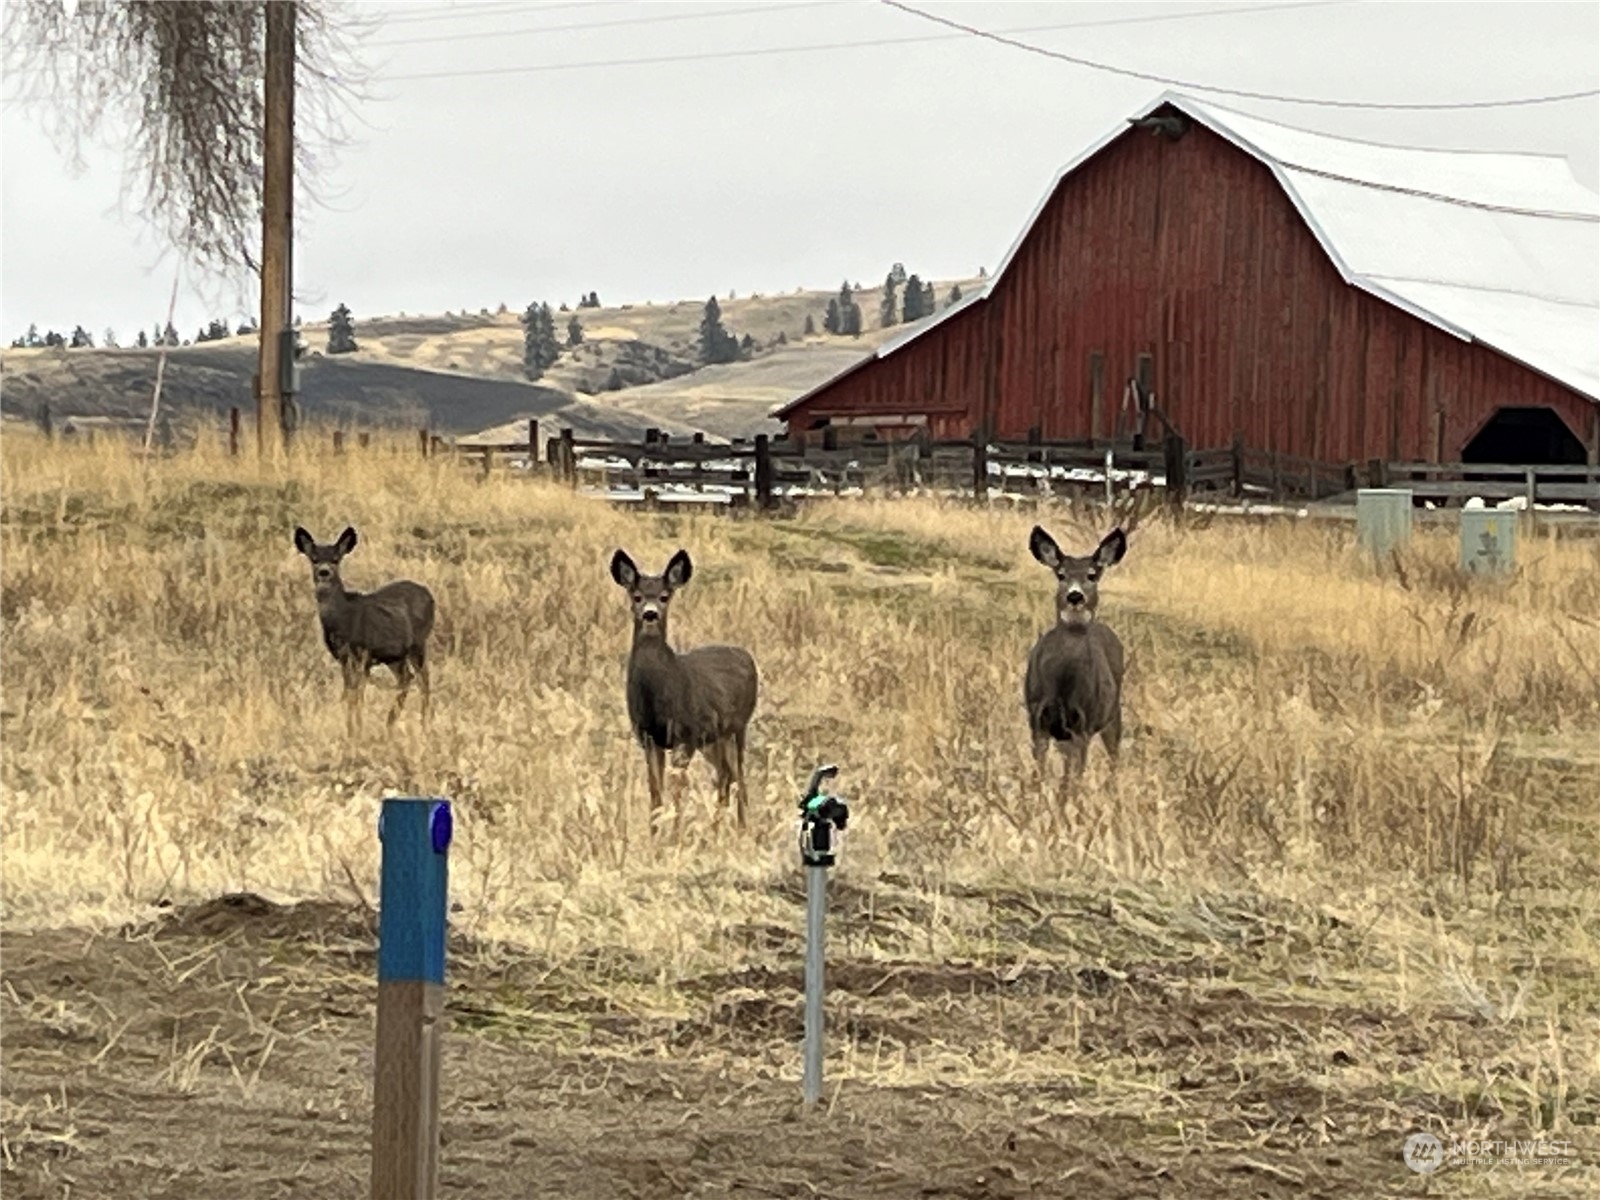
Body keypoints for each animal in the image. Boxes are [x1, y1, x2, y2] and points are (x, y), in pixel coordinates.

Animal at [292, 525, 435, 736]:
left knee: (423, 679)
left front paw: (356, 732)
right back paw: (390, 723)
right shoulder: (343, 658)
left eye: (336, 558)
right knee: (406, 678)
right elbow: (348, 694)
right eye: (314, 558)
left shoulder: (362, 655)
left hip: (418, 643)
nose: (324, 572)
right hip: (394, 655)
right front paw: (350, 730)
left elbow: (357, 696)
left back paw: (424, 726)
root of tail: (429, 594)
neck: (343, 621)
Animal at [609, 547, 759, 834]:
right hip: (713, 738)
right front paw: (654, 834)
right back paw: (717, 829)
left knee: (738, 777)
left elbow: (677, 791)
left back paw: (742, 830)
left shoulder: (685, 733)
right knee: (725, 775)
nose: (650, 613)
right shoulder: (648, 737)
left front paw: (675, 835)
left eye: (664, 596)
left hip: (737, 727)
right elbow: (656, 791)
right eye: (637, 596)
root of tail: (746, 656)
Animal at [1023, 524, 1130, 791]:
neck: (1062, 684)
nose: (1075, 596)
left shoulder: (1083, 726)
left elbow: (1071, 783)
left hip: (1112, 713)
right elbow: (1038, 774)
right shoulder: (1037, 720)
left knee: (1114, 758)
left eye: (1092, 575)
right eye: (1061, 574)